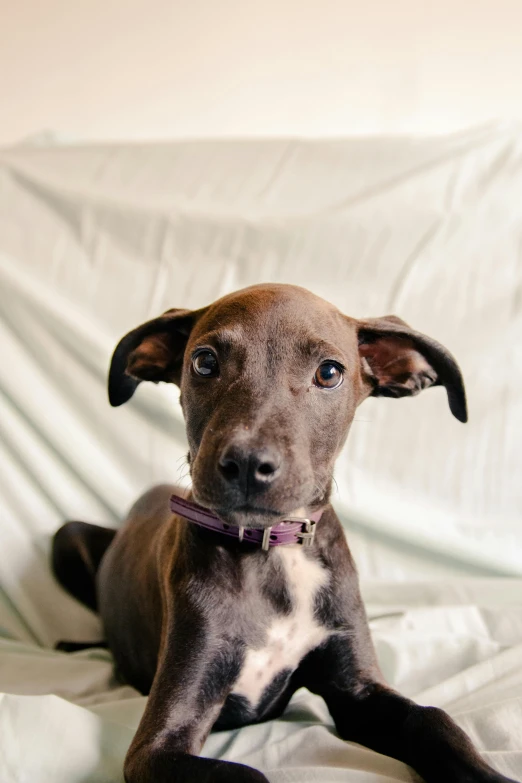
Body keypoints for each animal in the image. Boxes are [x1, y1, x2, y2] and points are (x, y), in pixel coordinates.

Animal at [52, 284, 516, 783]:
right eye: (204, 362)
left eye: (329, 372)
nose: (248, 464)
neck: (272, 551)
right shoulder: (158, 743)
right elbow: (248, 775)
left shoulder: (356, 690)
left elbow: (431, 718)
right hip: (65, 536)